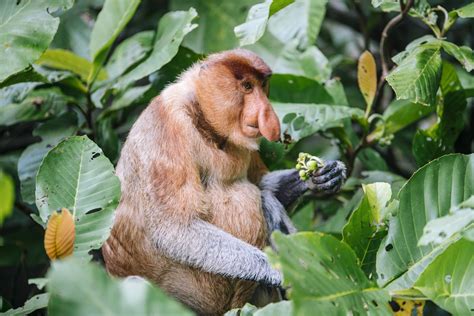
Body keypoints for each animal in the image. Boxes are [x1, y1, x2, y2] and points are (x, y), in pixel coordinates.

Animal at [102, 48, 346, 314]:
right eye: (247, 87)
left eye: (262, 86)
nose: (267, 113)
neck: (204, 121)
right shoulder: (166, 130)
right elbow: (175, 228)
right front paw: (280, 269)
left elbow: (261, 184)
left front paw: (324, 176)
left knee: (264, 198)